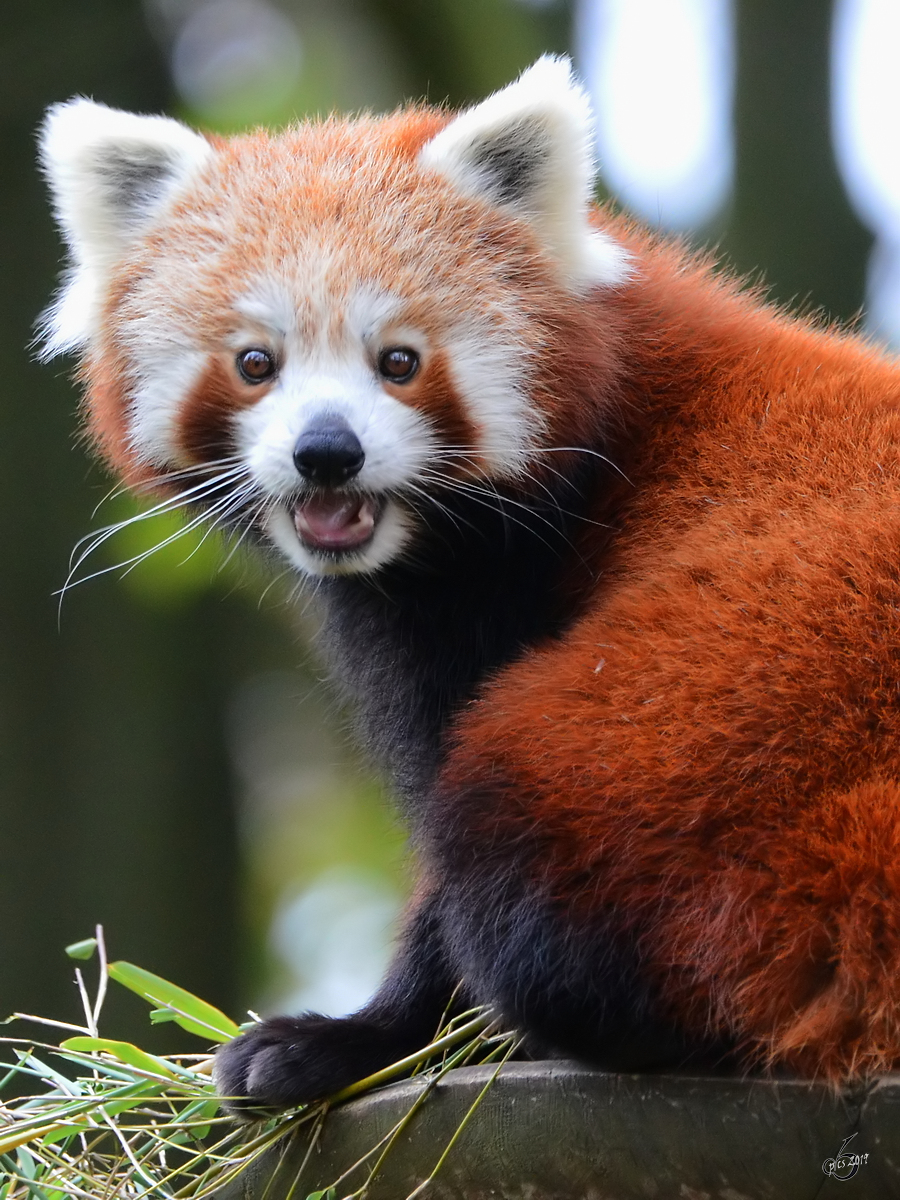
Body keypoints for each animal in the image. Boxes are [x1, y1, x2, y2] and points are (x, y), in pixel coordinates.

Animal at [40, 56, 900, 1104]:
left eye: (399, 360)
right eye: (255, 363)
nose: (327, 452)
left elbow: (439, 882)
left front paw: (351, 1036)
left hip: (699, 719)